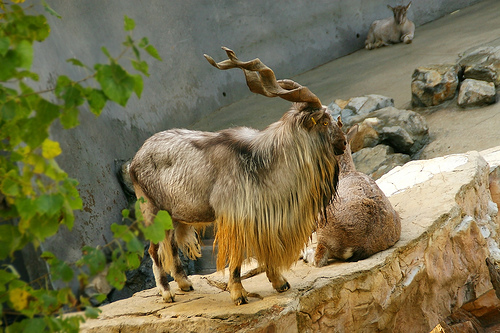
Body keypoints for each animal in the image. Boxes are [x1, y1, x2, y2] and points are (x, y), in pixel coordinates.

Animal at [129, 46, 348, 304]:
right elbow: (235, 257)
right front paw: (238, 294)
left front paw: (280, 282)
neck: (264, 162)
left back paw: (185, 284)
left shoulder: (261, 218)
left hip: (174, 215)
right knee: (154, 251)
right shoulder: (234, 217)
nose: (343, 143)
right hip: (152, 211)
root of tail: (135, 159)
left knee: (171, 247)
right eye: (323, 121)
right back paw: (166, 292)